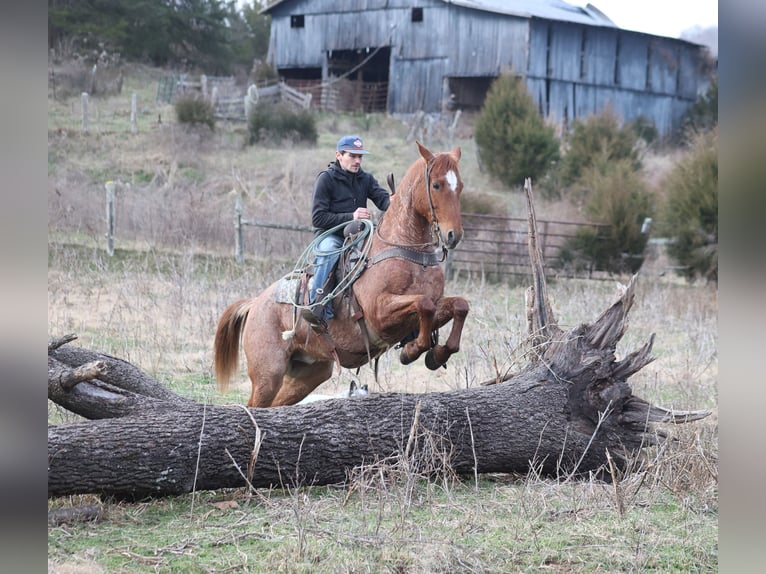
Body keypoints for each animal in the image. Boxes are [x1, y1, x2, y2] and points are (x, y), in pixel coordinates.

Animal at [214, 141, 469, 407]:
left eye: (460, 186)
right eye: (436, 184)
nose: (454, 235)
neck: (406, 251)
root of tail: (254, 304)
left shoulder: (431, 306)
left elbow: (459, 306)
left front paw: (437, 353)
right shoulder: (380, 313)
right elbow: (424, 304)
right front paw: (414, 349)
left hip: (308, 374)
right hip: (268, 374)